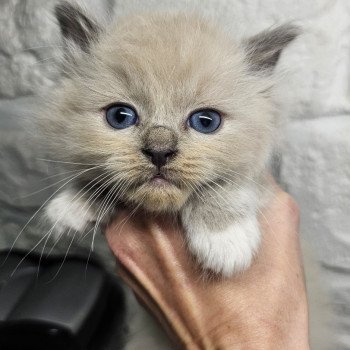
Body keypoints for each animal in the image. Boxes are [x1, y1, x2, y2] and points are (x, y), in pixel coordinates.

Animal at [41, 2, 298, 276]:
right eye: (120, 116)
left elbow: (225, 185)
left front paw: (225, 237)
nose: (159, 151)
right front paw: (73, 204)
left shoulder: (258, 176)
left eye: (206, 121)